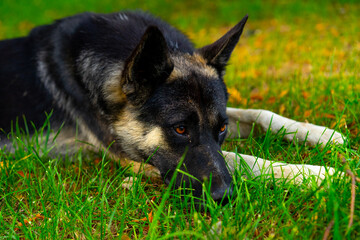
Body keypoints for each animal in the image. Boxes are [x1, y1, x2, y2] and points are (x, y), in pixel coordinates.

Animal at [0, 11, 344, 202]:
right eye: (179, 129)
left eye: (221, 128)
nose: (225, 197)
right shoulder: (130, 156)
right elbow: (242, 159)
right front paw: (318, 175)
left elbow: (259, 113)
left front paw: (322, 135)